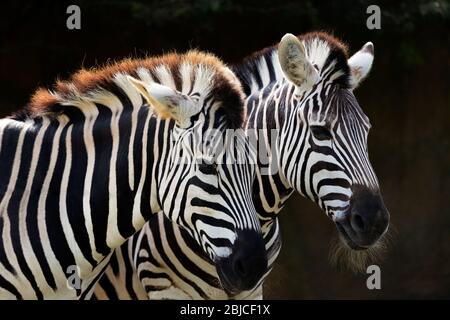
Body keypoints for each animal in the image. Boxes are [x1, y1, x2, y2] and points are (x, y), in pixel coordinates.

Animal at [94, 31, 390, 298]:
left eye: (366, 131)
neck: (259, 214)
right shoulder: (163, 285)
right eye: (320, 131)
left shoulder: (251, 289)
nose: (374, 221)